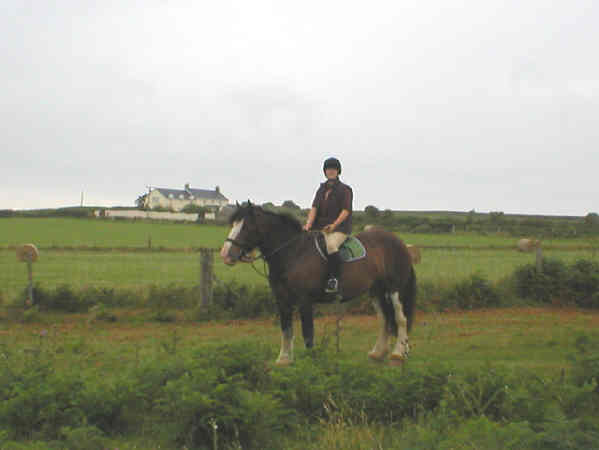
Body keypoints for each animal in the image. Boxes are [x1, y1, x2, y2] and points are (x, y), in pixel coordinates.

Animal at [220, 203, 418, 366]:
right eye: (233, 224)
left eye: (246, 226)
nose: (225, 255)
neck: (293, 252)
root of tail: (397, 241)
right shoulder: (282, 300)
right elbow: (286, 329)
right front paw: (284, 359)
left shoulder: (304, 300)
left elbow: (307, 332)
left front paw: (310, 361)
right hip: (376, 290)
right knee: (384, 318)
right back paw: (378, 353)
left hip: (395, 289)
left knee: (400, 319)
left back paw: (398, 354)